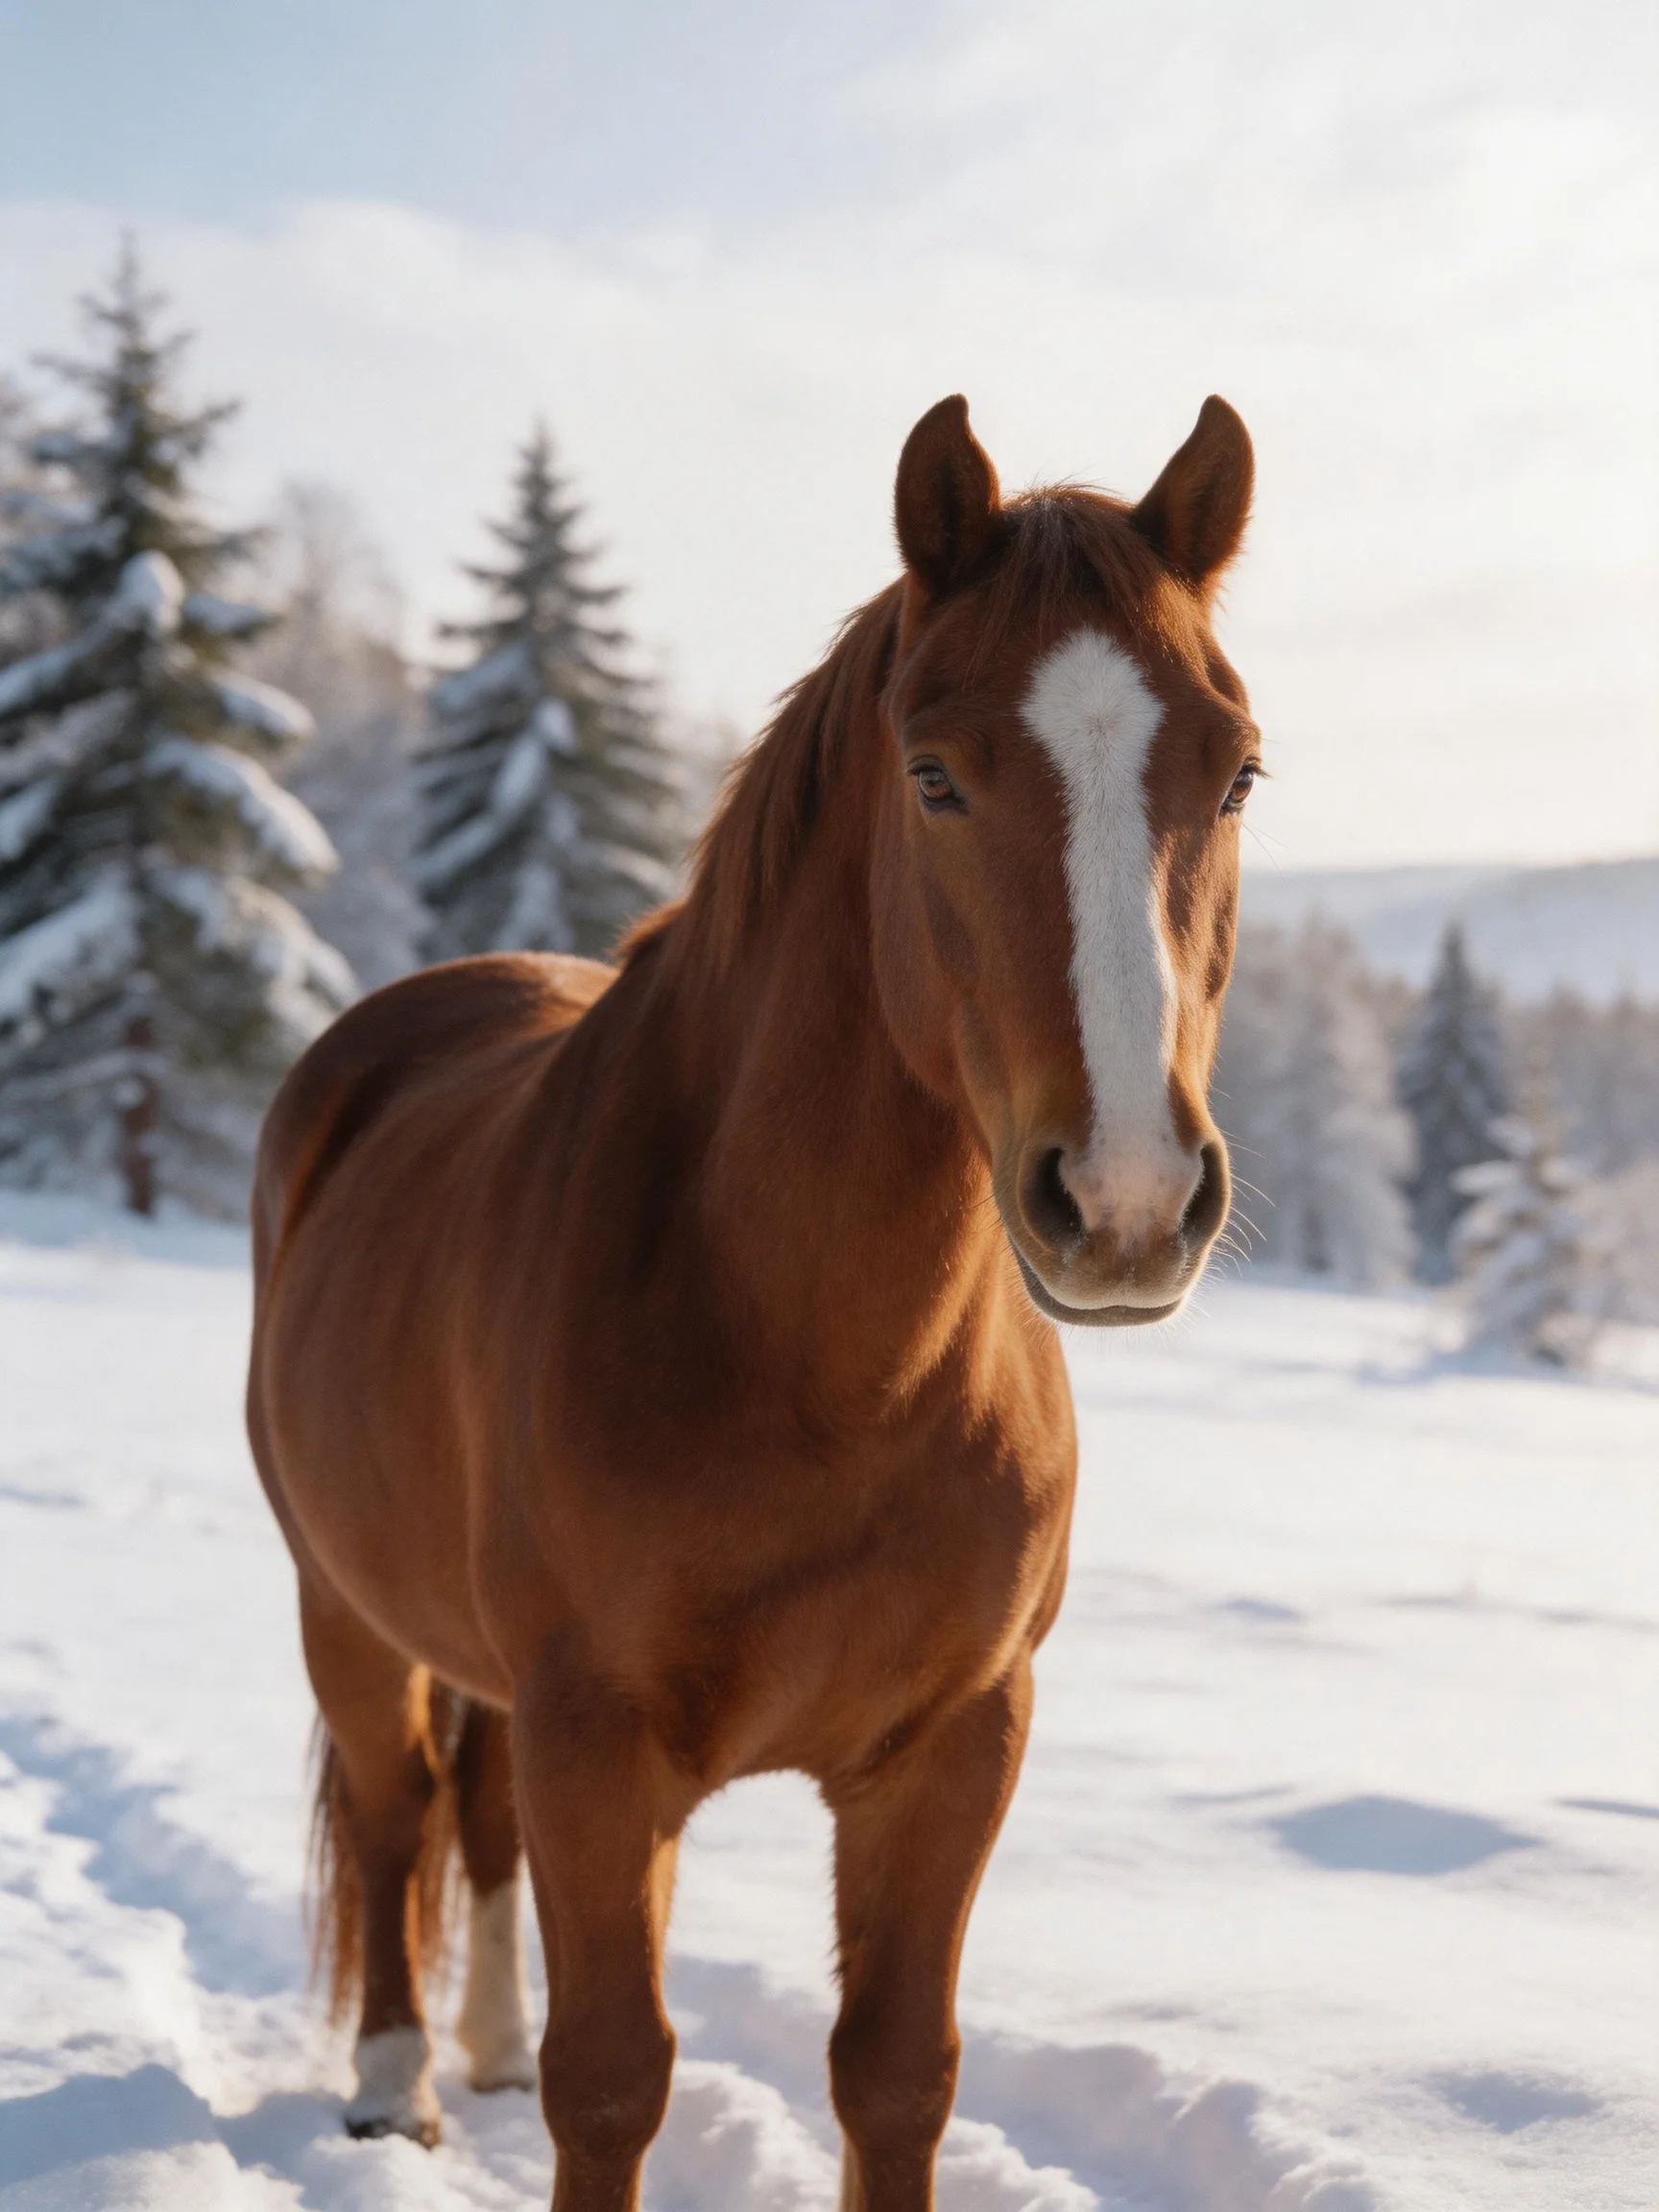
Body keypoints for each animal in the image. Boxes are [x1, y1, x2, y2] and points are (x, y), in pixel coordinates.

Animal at [246, 390, 1259, 2212]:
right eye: (933, 776)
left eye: (1235, 774)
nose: (1129, 1200)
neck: (819, 1364)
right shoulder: (600, 1749)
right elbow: (608, 2081)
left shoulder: (954, 1748)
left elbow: (894, 2075)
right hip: (342, 1608)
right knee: (392, 1808)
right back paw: (394, 2083)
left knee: (470, 1816)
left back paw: (475, 2042)